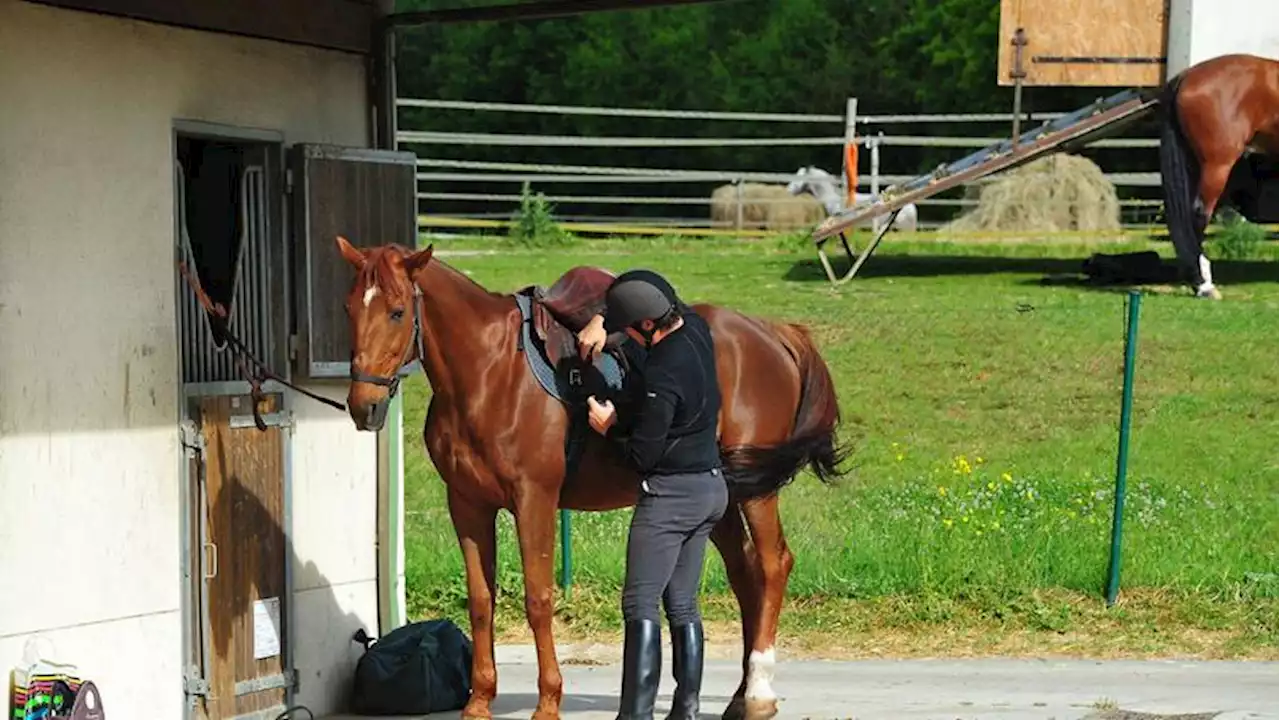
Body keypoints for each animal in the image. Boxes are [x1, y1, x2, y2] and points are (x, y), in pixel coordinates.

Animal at [332, 237, 849, 717]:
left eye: (398, 311)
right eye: (348, 308)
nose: (363, 406)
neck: (489, 371)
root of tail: (771, 332)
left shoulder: (534, 500)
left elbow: (538, 599)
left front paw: (548, 701)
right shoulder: (466, 504)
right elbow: (480, 601)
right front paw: (479, 701)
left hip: (757, 492)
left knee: (773, 565)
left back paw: (759, 693)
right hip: (723, 494)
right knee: (746, 575)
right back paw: (741, 696)